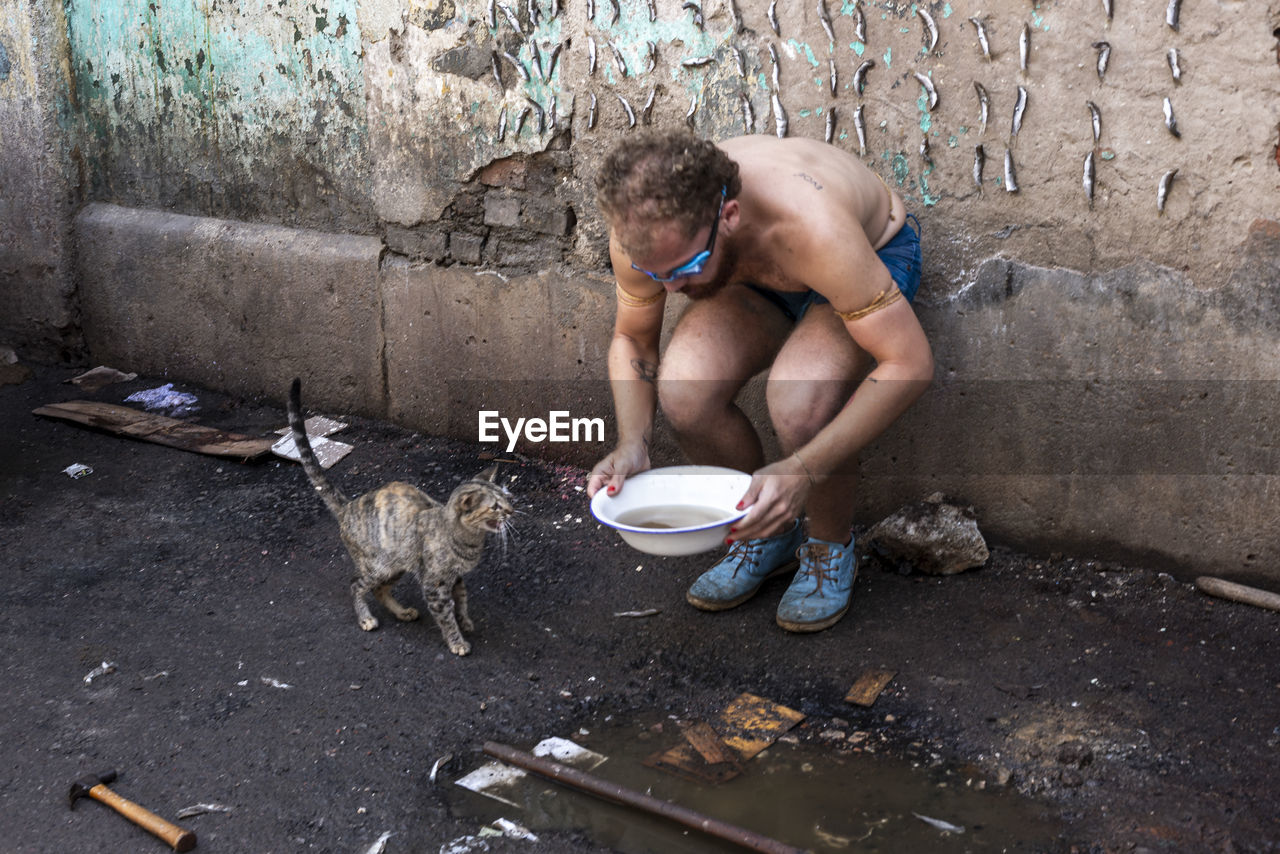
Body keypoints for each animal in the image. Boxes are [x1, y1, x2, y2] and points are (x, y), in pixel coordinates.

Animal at [288, 378, 512, 655]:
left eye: (506, 498)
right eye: (495, 506)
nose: (511, 510)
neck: (468, 541)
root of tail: (348, 506)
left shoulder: (456, 577)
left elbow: (461, 599)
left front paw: (466, 621)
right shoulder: (434, 584)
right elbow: (446, 614)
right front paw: (456, 640)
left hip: (397, 564)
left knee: (379, 590)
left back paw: (402, 612)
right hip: (378, 565)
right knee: (356, 584)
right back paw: (366, 618)